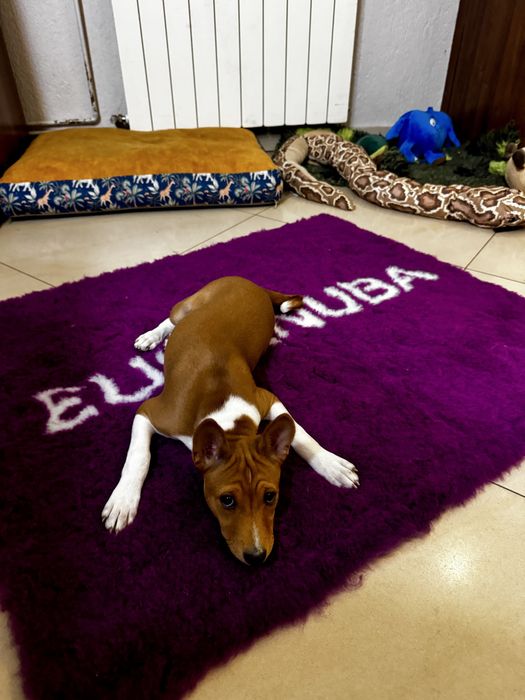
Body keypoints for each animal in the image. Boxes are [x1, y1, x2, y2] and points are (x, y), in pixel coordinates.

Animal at [102, 276, 359, 564]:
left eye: (270, 497)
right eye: (227, 500)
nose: (257, 557)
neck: (227, 420)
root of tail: (251, 282)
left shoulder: (266, 398)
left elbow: (300, 433)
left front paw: (330, 464)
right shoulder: (150, 411)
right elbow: (139, 456)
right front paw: (123, 500)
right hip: (189, 304)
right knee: (170, 319)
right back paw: (151, 337)